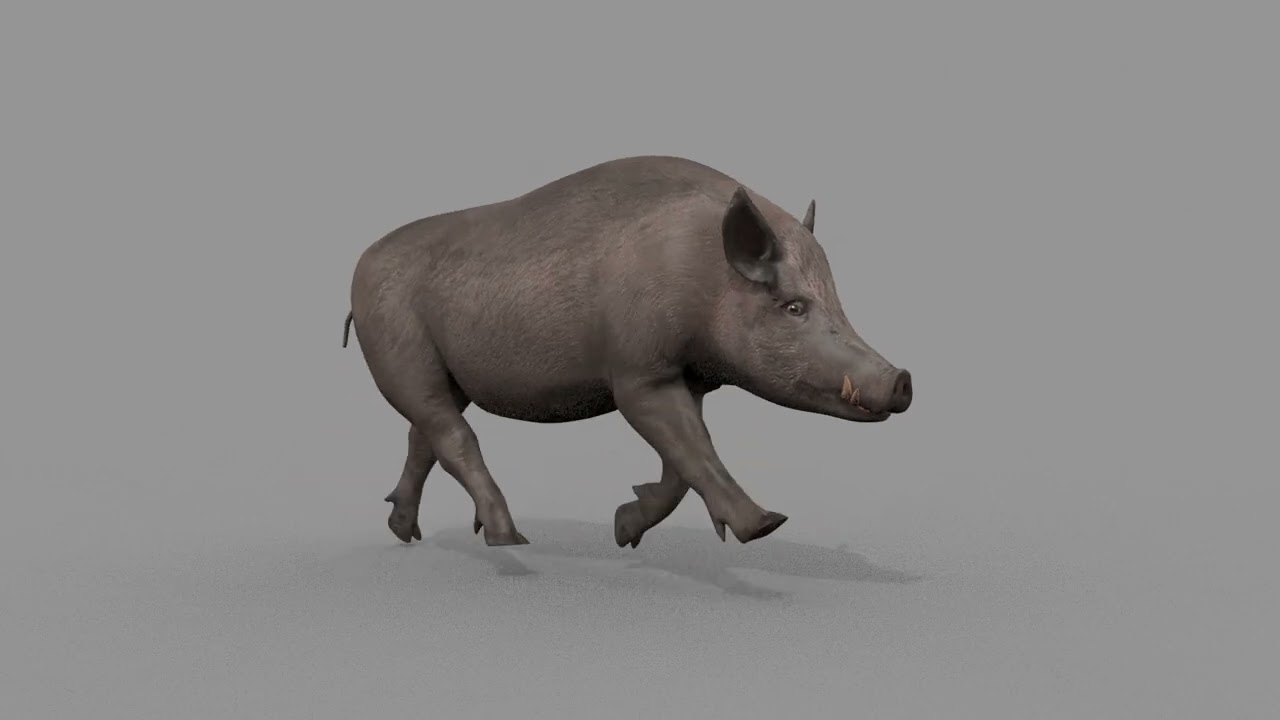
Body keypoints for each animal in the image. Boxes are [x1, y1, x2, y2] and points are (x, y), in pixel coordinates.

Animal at [343, 155, 913, 549]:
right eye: (793, 307)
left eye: (838, 303)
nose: (903, 380)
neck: (703, 276)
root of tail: (359, 270)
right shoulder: (638, 371)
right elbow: (693, 448)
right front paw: (767, 527)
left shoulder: (691, 377)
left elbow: (684, 458)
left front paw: (623, 533)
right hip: (397, 343)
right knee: (451, 434)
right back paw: (511, 541)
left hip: (442, 372)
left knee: (424, 435)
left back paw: (405, 532)